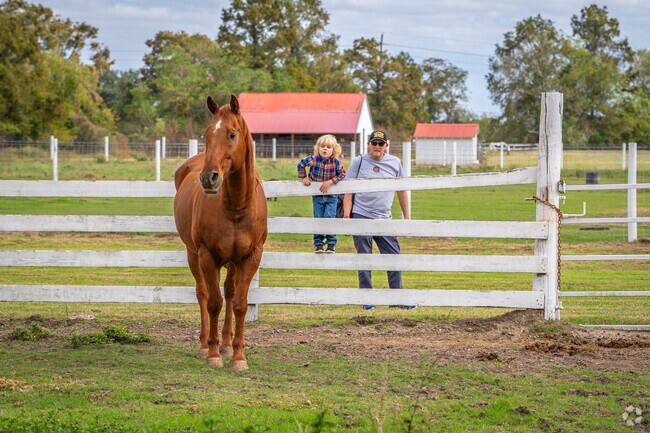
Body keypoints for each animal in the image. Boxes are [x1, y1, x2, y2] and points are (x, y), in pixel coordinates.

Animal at [173, 95, 267, 371]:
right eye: (206, 134)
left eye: (232, 134)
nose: (209, 178)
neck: (236, 205)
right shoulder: (208, 256)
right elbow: (214, 302)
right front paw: (213, 354)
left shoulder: (250, 257)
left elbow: (239, 304)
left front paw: (238, 356)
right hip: (193, 254)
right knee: (203, 294)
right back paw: (206, 345)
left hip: (233, 262)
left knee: (230, 292)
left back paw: (226, 344)